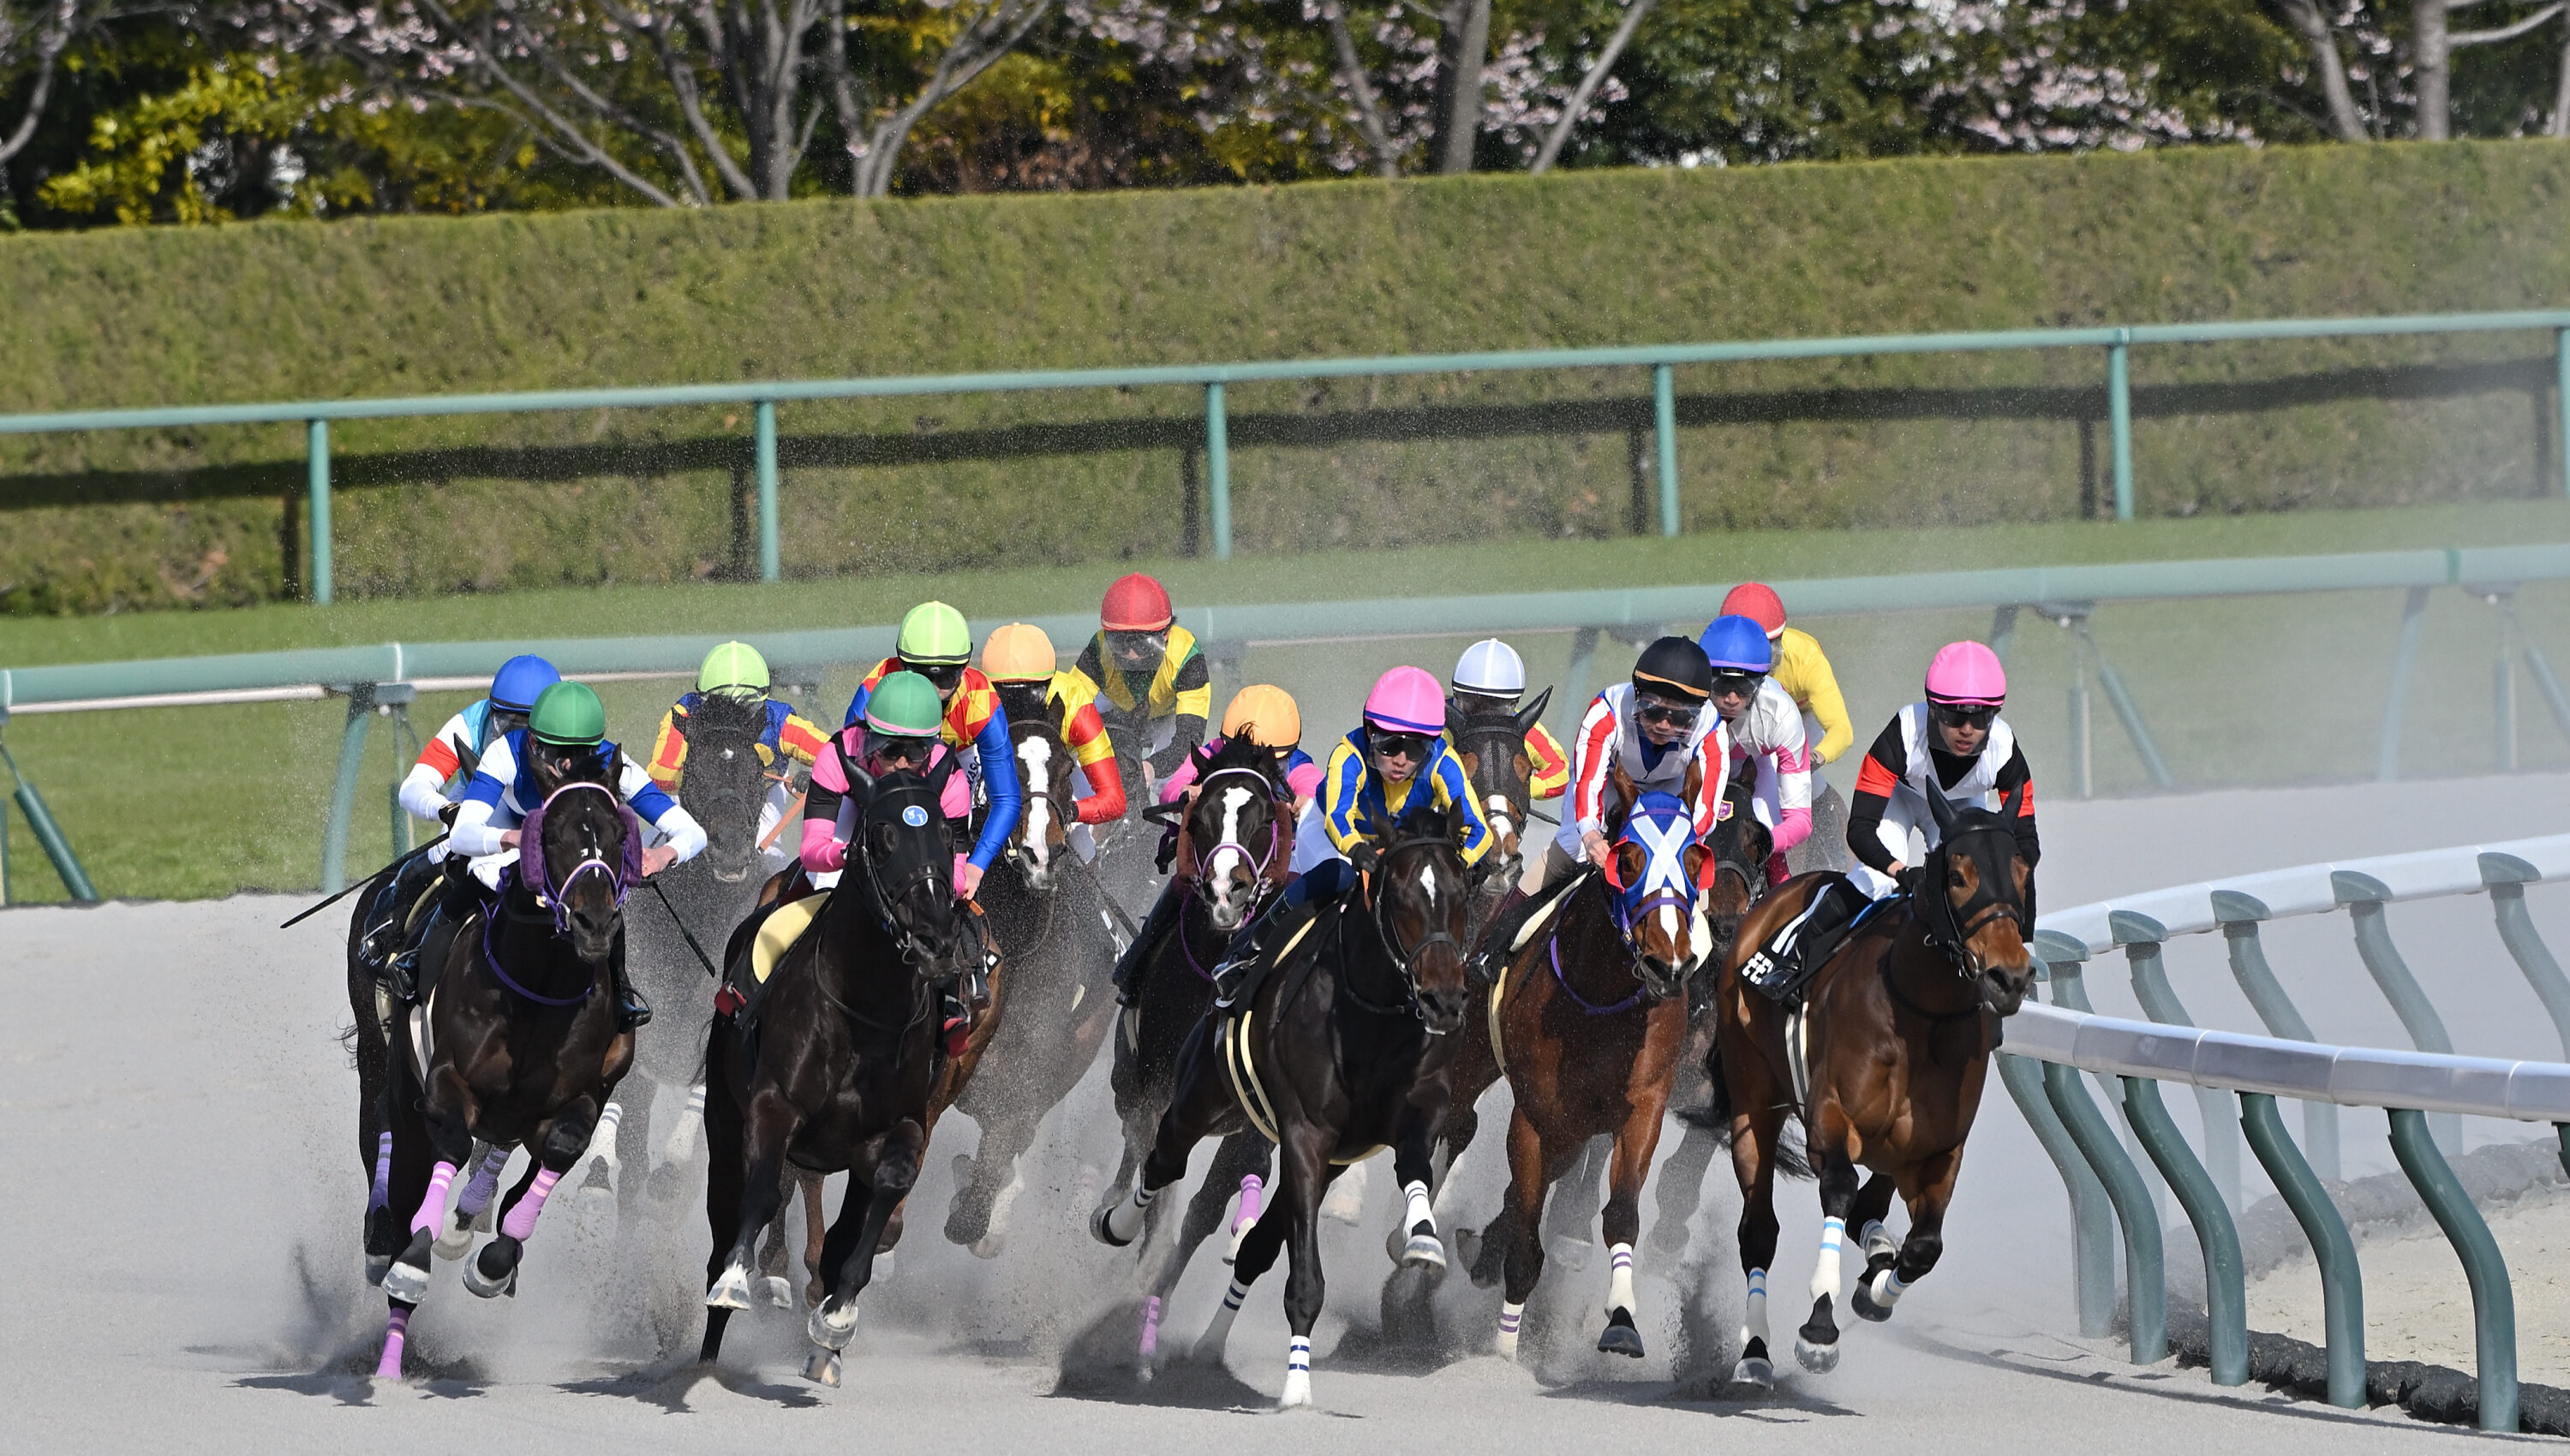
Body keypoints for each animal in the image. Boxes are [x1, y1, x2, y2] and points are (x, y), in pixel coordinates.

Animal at [372, 766, 642, 1379]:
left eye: (619, 834)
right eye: (553, 835)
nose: (595, 923)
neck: (537, 989)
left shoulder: (578, 1098)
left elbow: (563, 1147)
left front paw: (495, 1261)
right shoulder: (444, 1084)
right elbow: (449, 1140)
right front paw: (418, 1256)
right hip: (402, 1101)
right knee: (405, 1181)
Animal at [698, 756, 998, 1387]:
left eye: (947, 833)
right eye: (881, 837)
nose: (936, 938)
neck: (866, 1004)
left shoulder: (902, 1123)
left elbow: (883, 1195)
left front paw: (836, 1319)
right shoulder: (773, 1106)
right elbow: (763, 1195)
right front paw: (740, 1280)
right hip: (724, 1121)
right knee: (725, 1218)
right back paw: (707, 1350)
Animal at [1093, 800, 1475, 1409]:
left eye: (1462, 894)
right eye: (1398, 898)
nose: (1444, 999)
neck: (1369, 1018)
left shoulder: (1392, 1123)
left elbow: (1413, 1165)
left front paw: (1421, 1239)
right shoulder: (1303, 1134)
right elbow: (1302, 1277)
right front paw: (1297, 1383)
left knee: (1244, 1234)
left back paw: (1197, 1338)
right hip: (1198, 1095)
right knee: (1164, 1159)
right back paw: (1118, 1225)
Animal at [1094, 735, 1289, 1368]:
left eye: (1263, 817)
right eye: (1198, 815)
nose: (1226, 890)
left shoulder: (1255, 1119)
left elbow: (1208, 1204)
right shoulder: (1155, 1090)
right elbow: (1156, 1181)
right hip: (1127, 1081)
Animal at [1711, 781, 2036, 1386]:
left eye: (2023, 871)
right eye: (1958, 875)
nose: (2010, 976)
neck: (1920, 1013)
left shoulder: (1938, 1147)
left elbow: (1923, 1246)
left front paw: (1876, 1288)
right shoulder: (1830, 1120)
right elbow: (1839, 1190)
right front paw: (1819, 1327)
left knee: (1872, 1209)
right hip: (1753, 1103)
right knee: (1759, 1230)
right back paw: (1755, 1353)